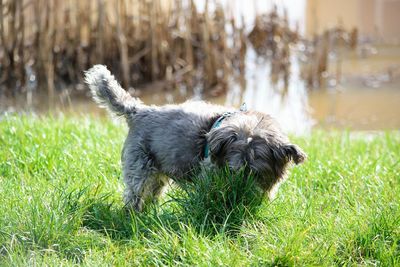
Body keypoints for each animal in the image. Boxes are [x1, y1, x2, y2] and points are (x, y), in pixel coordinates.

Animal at [84, 64, 306, 211]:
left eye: (255, 172)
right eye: (233, 170)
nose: (241, 191)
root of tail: (139, 110)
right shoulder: (209, 178)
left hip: (158, 173)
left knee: (153, 193)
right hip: (139, 167)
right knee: (135, 192)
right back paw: (134, 215)